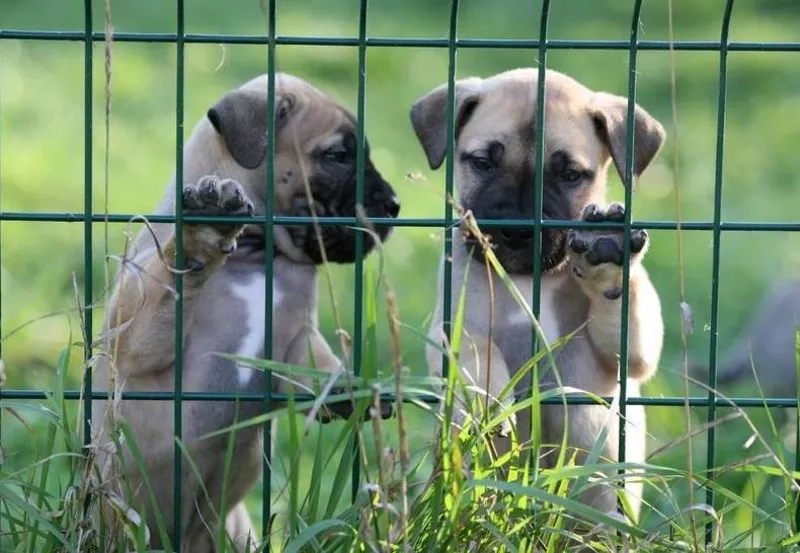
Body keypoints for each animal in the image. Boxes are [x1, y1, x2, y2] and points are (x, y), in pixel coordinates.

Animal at [90, 73, 400, 552]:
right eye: (337, 156)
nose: (395, 206)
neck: (257, 253)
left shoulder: (294, 343)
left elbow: (317, 366)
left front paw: (350, 387)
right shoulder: (139, 345)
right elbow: (169, 285)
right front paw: (201, 235)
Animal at [410, 67, 664, 524]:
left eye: (570, 174)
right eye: (483, 163)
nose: (515, 230)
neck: (529, 278)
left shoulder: (626, 357)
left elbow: (630, 314)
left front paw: (608, 262)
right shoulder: (447, 327)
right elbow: (476, 353)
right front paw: (492, 403)